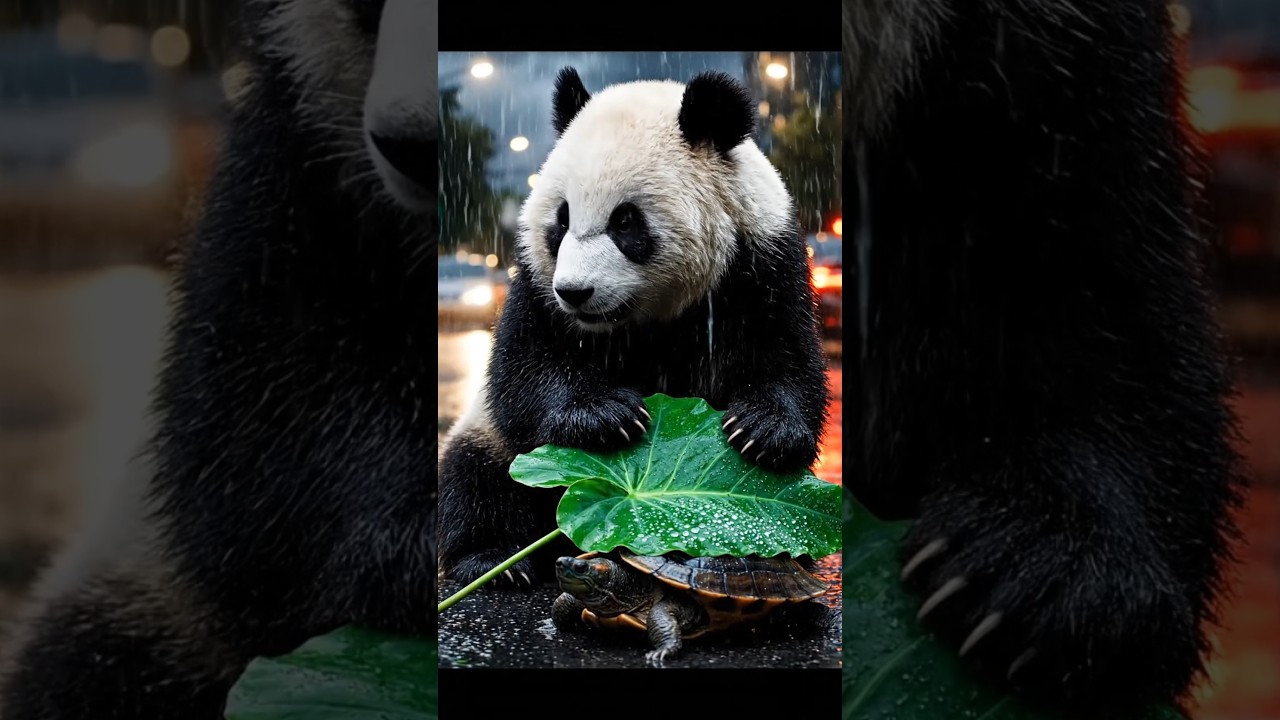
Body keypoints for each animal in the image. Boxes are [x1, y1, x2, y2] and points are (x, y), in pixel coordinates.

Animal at [437, 68, 831, 586]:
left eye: (625, 221)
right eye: (561, 220)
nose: (575, 292)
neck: (648, 319)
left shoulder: (763, 264)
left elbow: (788, 357)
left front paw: (761, 430)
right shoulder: (536, 284)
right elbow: (523, 371)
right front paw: (609, 416)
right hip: (491, 442)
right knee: (476, 478)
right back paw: (493, 560)